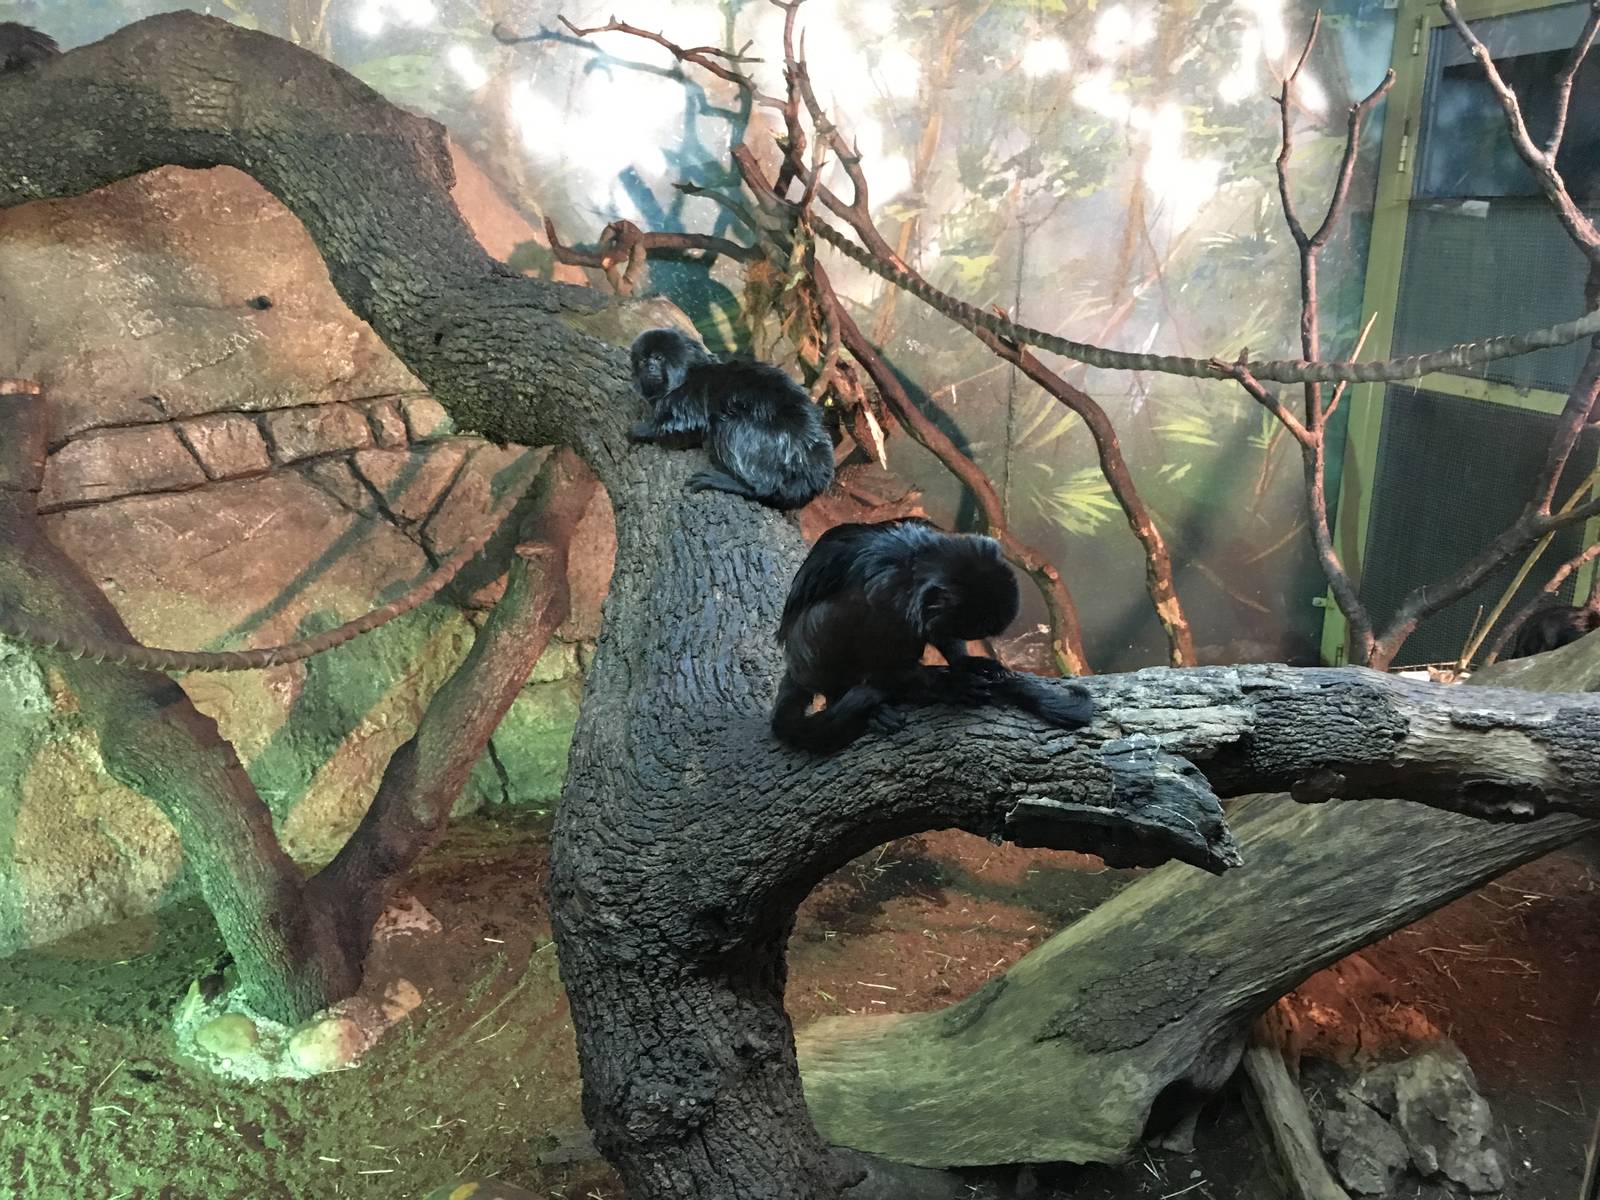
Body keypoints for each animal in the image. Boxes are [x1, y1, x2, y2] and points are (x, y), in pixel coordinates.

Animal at [628, 328, 834, 511]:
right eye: (643, 361)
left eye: (658, 358)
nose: (649, 367)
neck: (688, 373)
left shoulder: (686, 397)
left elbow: (683, 428)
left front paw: (641, 430)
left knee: (728, 428)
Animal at [770, 518, 1095, 752]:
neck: (911, 560)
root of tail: (795, 665)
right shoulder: (885, 598)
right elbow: (888, 660)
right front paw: (949, 685)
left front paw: (967, 664)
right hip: (809, 650)